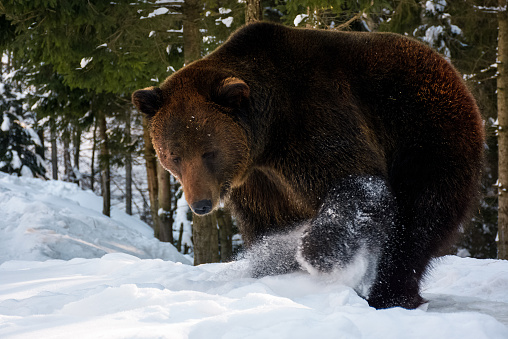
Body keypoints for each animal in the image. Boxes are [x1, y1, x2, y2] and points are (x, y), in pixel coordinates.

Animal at [131, 22, 484, 310]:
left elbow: (359, 183)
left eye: (209, 152)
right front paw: (273, 271)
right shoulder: (260, 183)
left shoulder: (314, 123)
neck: (268, 136)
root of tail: (451, 72)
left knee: (415, 224)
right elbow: (267, 225)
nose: (201, 204)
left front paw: (315, 255)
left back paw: (391, 296)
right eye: (173, 155)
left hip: (424, 137)